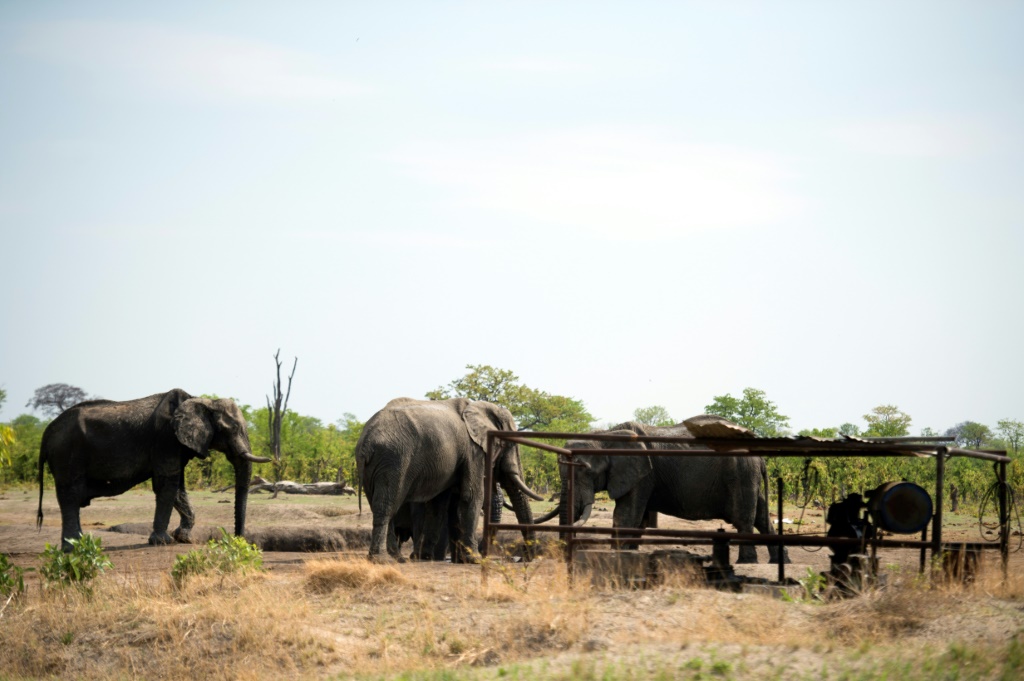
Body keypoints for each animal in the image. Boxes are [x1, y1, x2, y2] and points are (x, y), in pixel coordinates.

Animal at [37, 385, 272, 548]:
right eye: (231, 429)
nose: (237, 540)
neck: (201, 401)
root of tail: (47, 432)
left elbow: (178, 488)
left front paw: (183, 538)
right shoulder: (165, 438)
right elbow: (167, 485)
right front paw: (163, 542)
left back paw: (79, 545)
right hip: (67, 455)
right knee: (70, 496)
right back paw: (73, 548)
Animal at [356, 395, 540, 561]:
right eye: (509, 444)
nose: (525, 557)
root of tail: (366, 441)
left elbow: (440, 505)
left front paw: (428, 557)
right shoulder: (473, 451)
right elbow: (472, 496)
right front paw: (474, 559)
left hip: (375, 466)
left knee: (380, 505)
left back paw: (396, 558)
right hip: (394, 460)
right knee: (386, 506)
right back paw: (384, 559)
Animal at [540, 419, 786, 561]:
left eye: (586, 471)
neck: (607, 434)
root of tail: (760, 458)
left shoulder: (641, 474)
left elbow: (626, 515)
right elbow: (638, 520)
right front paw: (628, 555)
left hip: (741, 474)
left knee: (744, 519)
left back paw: (747, 562)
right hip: (748, 475)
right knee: (762, 516)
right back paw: (780, 562)